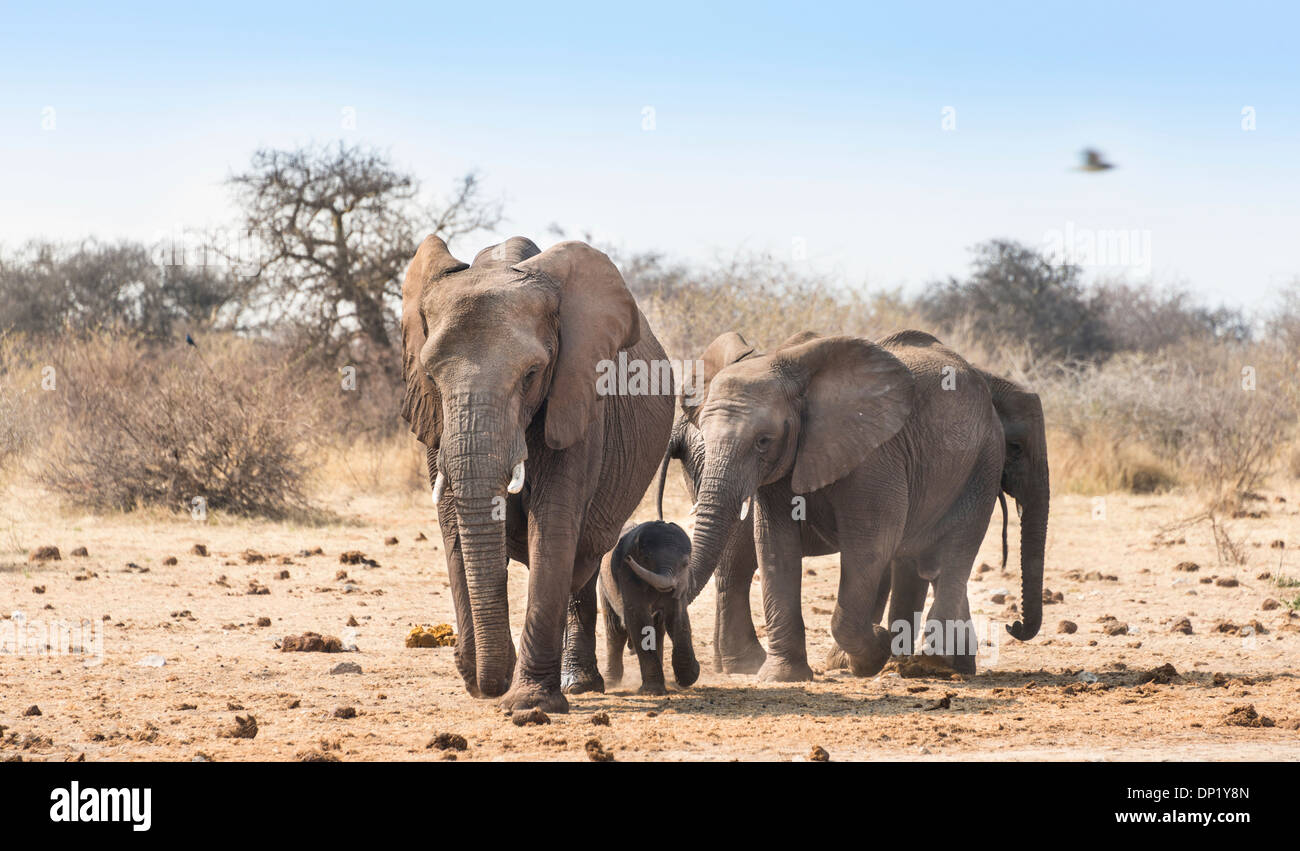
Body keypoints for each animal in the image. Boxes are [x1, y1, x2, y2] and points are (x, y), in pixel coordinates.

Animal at [400, 235, 676, 711]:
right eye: (432, 376)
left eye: (532, 374)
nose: (488, 682)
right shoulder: (435, 422)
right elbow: (452, 525)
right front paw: (477, 678)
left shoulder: (576, 397)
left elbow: (553, 524)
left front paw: (529, 704)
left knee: (582, 558)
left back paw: (578, 684)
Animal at [598, 519, 702, 691]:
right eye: (646, 559)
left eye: (685, 564)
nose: (628, 559)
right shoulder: (627, 574)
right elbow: (639, 618)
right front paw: (653, 691)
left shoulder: (681, 583)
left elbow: (677, 617)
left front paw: (689, 677)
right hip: (604, 585)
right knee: (615, 630)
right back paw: (611, 682)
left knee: (658, 629)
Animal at [681, 327, 1003, 680]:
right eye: (702, 435)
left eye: (763, 441)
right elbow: (774, 545)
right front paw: (784, 676)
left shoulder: (876, 454)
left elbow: (870, 544)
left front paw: (874, 651)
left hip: (983, 462)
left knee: (953, 556)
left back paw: (935, 665)